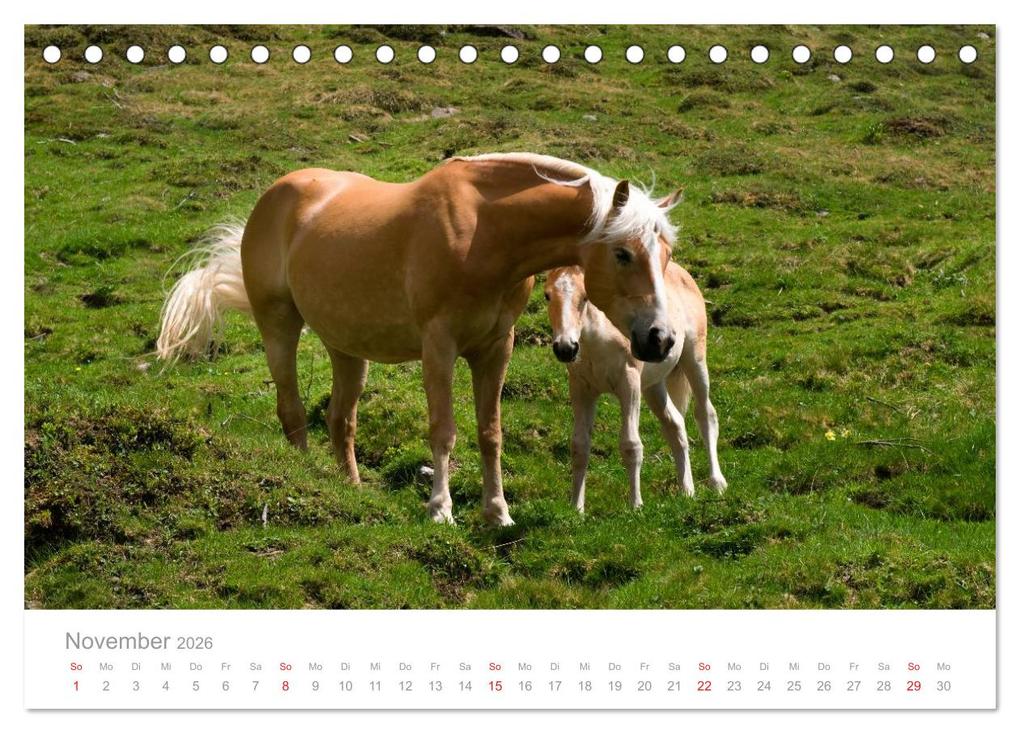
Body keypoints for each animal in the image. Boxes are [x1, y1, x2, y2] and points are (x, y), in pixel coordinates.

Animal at [156, 152, 683, 526]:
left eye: (666, 255)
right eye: (622, 253)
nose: (659, 340)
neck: (486, 232)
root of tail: (275, 196)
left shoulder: (495, 348)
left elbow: (490, 433)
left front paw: (498, 513)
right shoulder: (439, 347)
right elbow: (443, 430)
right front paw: (440, 510)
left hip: (346, 348)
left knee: (340, 419)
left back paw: (351, 490)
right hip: (279, 326)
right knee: (291, 410)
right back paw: (305, 479)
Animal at [544, 263, 726, 512]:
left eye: (585, 297)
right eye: (547, 295)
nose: (565, 348)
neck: (597, 339)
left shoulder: (628, 384)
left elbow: (631, 445)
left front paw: (635, 505)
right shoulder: (581, 389)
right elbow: (579, 446)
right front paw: (576, 509)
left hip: (694, 359)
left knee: (706, 415)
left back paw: (717, 483)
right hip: (653, 386)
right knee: (676, 425)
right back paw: (687, 491)